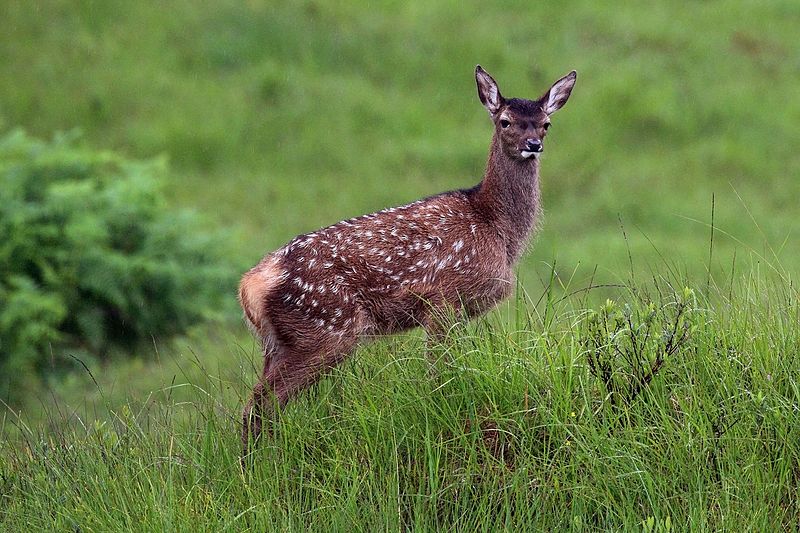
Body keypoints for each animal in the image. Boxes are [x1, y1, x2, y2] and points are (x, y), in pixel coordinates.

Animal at [238, 64, 576, 456]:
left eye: (546, 123)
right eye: (505, 121)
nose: (533, 145)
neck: (496, 227)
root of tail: (251, 285)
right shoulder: (444, 300)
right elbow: (439, 371)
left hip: (280, 340)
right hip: (325, 327)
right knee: (262, 403)